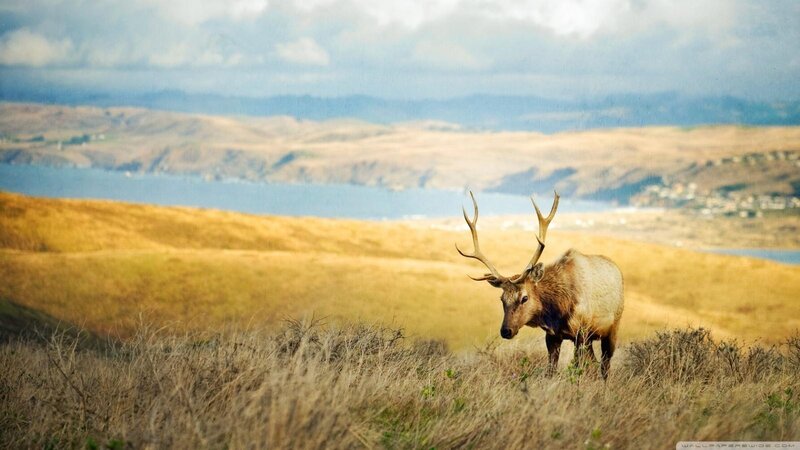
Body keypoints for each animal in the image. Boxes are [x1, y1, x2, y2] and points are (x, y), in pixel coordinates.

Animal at [456, 191, 624, 379]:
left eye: (524, 298)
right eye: (502, 299)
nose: (506, 331)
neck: (558, 308)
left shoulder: (581, 332)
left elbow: (577, 370)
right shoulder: (552, 336)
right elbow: (551, 370)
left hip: (612, 327)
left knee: (605, 365)